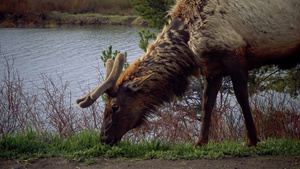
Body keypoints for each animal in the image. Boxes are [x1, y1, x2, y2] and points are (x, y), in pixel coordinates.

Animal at [77, 0, 300, 147]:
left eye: (114, 107)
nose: (103, 138)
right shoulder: (213, 66)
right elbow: (207, 104)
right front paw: (200, 142)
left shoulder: (234, 52)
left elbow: (242, 97)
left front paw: (252, 140)